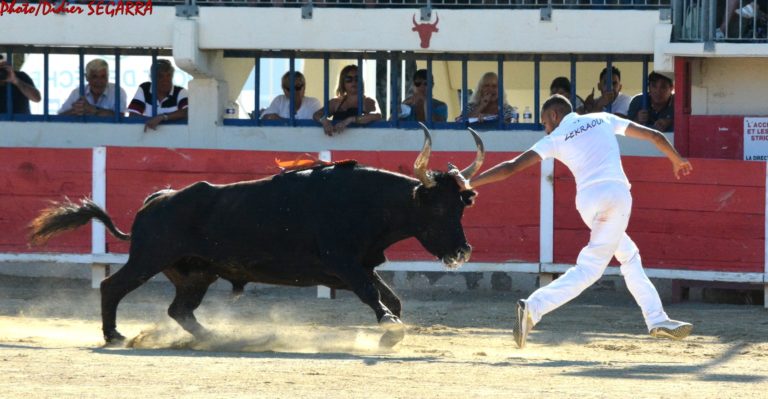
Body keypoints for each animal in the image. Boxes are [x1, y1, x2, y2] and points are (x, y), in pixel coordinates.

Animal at [31, 126, 486, 348]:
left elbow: (392, 298)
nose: (462, 251)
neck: (367, 202)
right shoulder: (343, 264)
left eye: (462, 206)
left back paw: (216, 338)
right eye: (440, 209)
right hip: (149, 258)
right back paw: (114, 335)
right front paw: (390, 329)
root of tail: (157, 199)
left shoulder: (361, 266)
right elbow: (376, 297)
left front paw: (391, 331)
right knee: (112, 286)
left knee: (180, 310)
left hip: (197, 273)